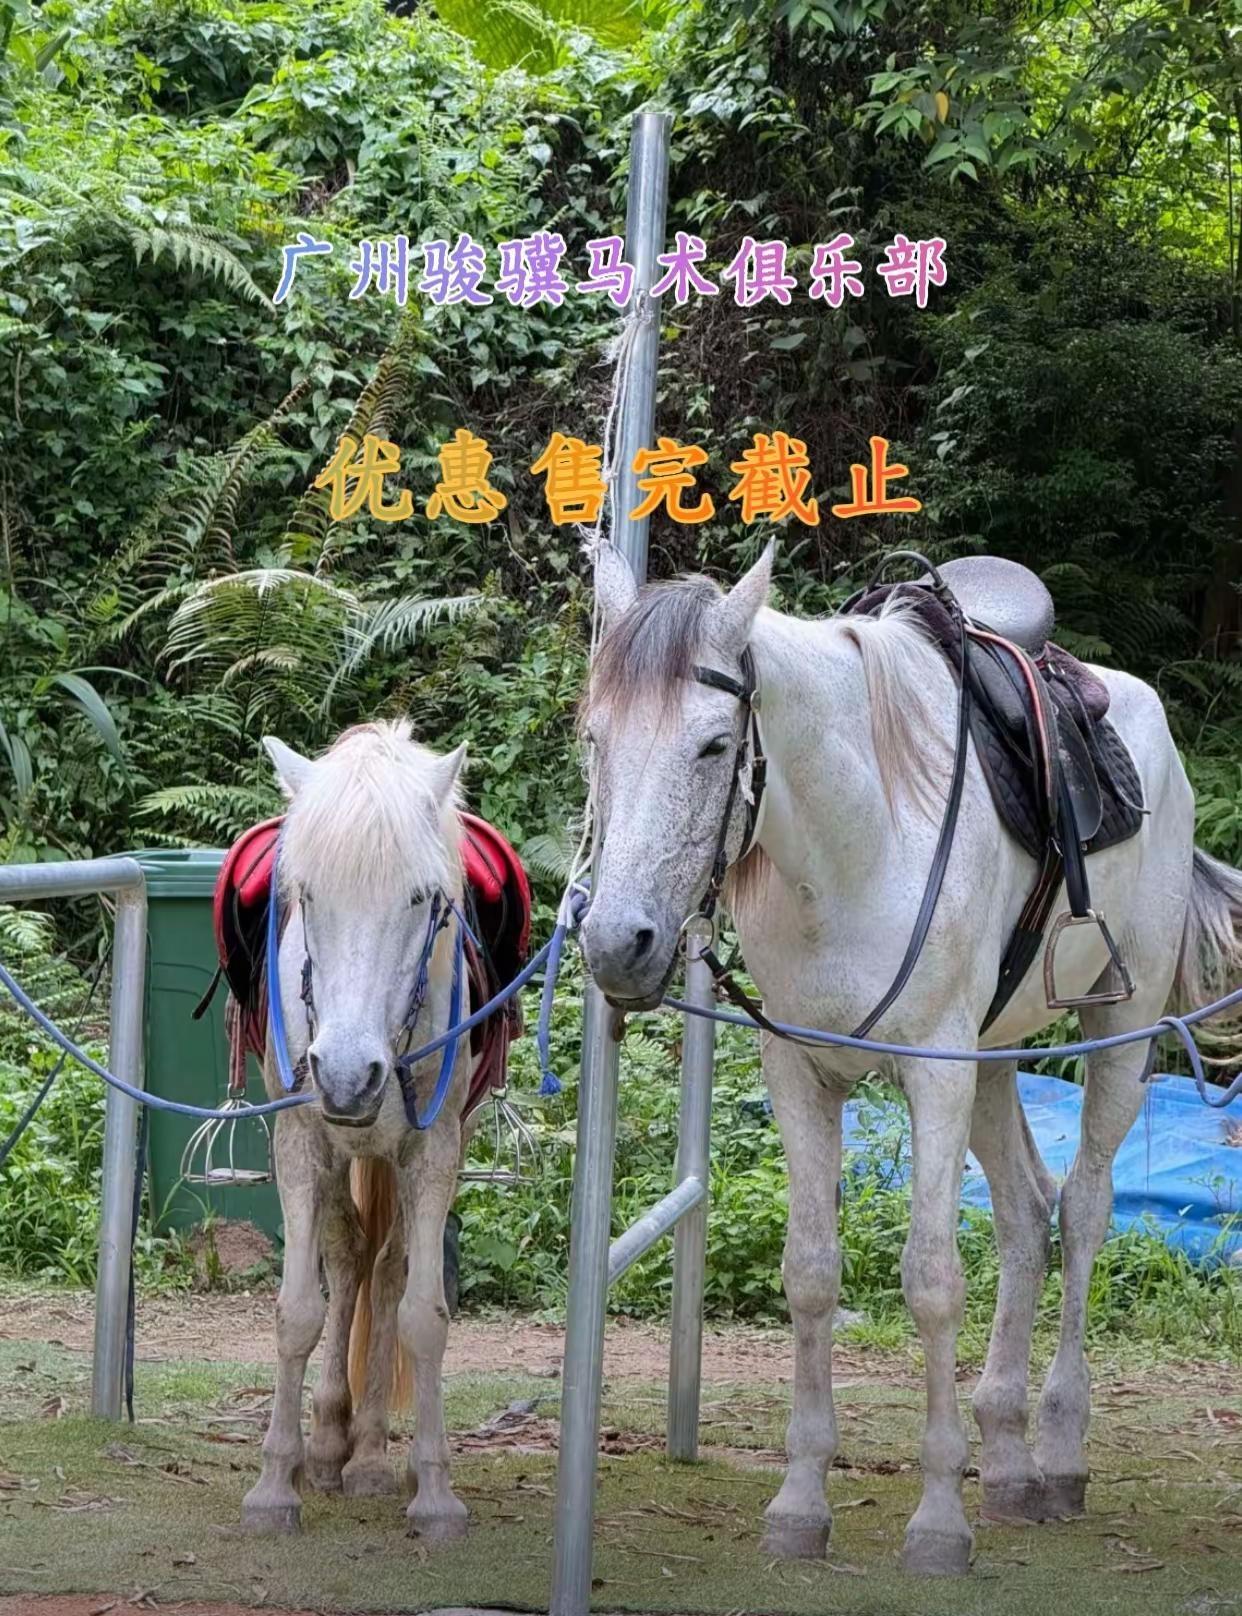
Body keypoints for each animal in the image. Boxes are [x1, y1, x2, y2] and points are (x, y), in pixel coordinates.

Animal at [240, 720, 474, 1539]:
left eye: (421, 898)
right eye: (307, 895)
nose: (346, 1074)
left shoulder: (433, 1150)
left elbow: (424, 1316)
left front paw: (434, 1491)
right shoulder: (301, 1143)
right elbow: (297, 1312)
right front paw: (274, 1483)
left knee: (389, 1269)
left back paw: (370, 1453)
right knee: (347, 1262)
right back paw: (330, 1442)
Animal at [579, 541, 1242, 1575]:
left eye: (714, 747)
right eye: (596, 739)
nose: (618, 945)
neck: (853, 843)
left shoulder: (935, 1071)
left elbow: (932, 1281)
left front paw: (937, 1520)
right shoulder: (802, 1075)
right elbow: (811, 1273)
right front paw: (801, 1502)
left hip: (1119, 1036)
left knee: (1085, 1210)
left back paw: (1058, 1449)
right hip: (995, 1061)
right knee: (1026, 1214)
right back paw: (1006, 1459)